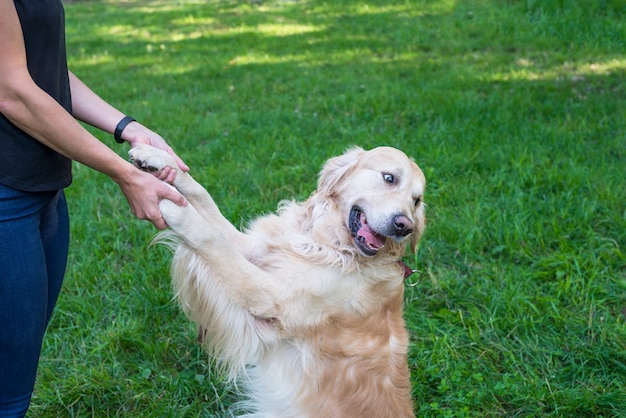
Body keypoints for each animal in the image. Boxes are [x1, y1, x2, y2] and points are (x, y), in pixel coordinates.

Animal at [130, 143, 424, 414]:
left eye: (416, 200)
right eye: (389, 178)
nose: (404, 226)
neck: (332, 246)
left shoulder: (272, 298)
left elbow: (209, 237)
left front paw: (174, 208)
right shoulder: (253, 249)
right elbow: (204, 198)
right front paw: (157, 159)